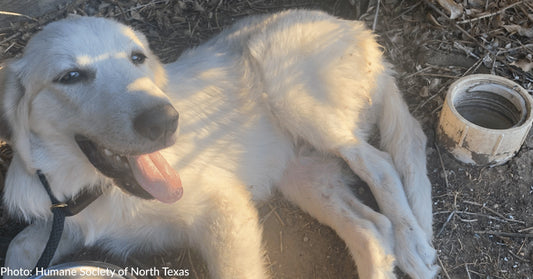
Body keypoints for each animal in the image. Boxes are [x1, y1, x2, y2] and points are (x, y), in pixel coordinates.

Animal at [1, 8, 436, 279]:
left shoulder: (223, 206)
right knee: (371, 227)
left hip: (294, 92)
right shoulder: (66, 222)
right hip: (303, 176)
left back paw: (413, 244)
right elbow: (18, 247)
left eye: (137, 58)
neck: (97, 186)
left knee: (380, 163)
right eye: (71, 76)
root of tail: (361, 31)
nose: (166, 121)